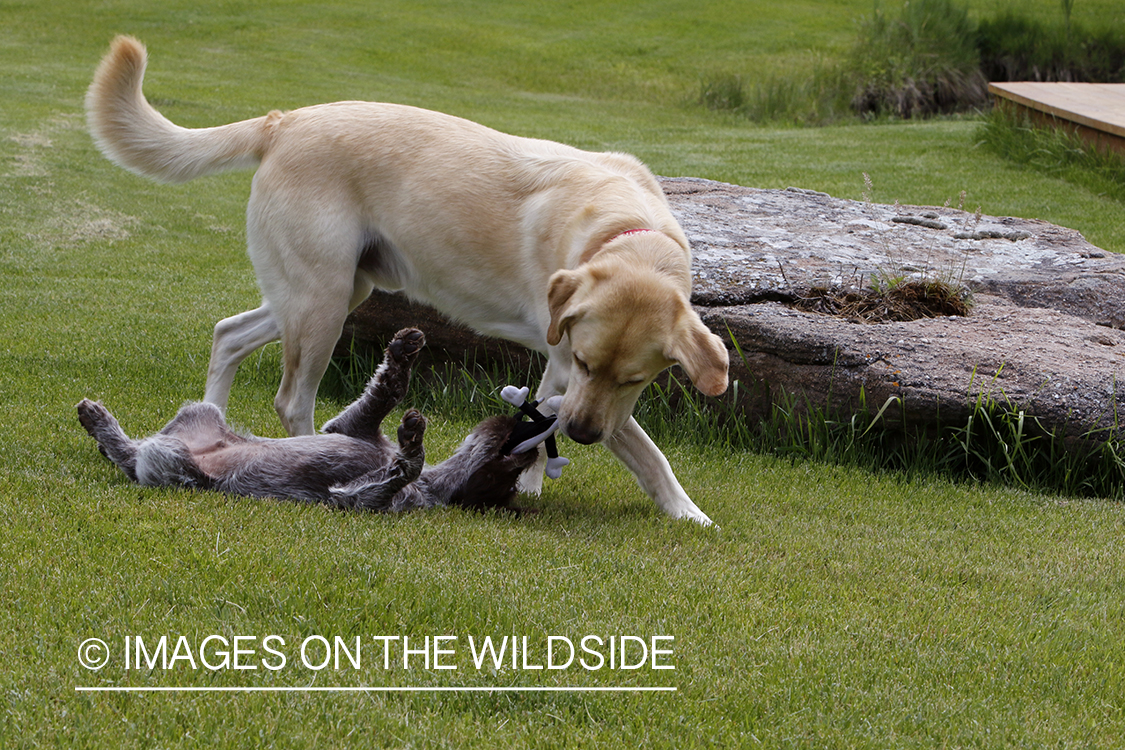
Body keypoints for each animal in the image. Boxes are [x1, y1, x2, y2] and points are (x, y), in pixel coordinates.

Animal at [75, 330, 540, 517]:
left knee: (131, 454)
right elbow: (384, 393)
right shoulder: (348, 428)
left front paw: (413, 442)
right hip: (202, 414)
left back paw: (101, 425)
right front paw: (402, 355)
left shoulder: (359, 500)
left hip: (171, 461)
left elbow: (404, 467)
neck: (434, 488)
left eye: (505, 473)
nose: (530, 442)